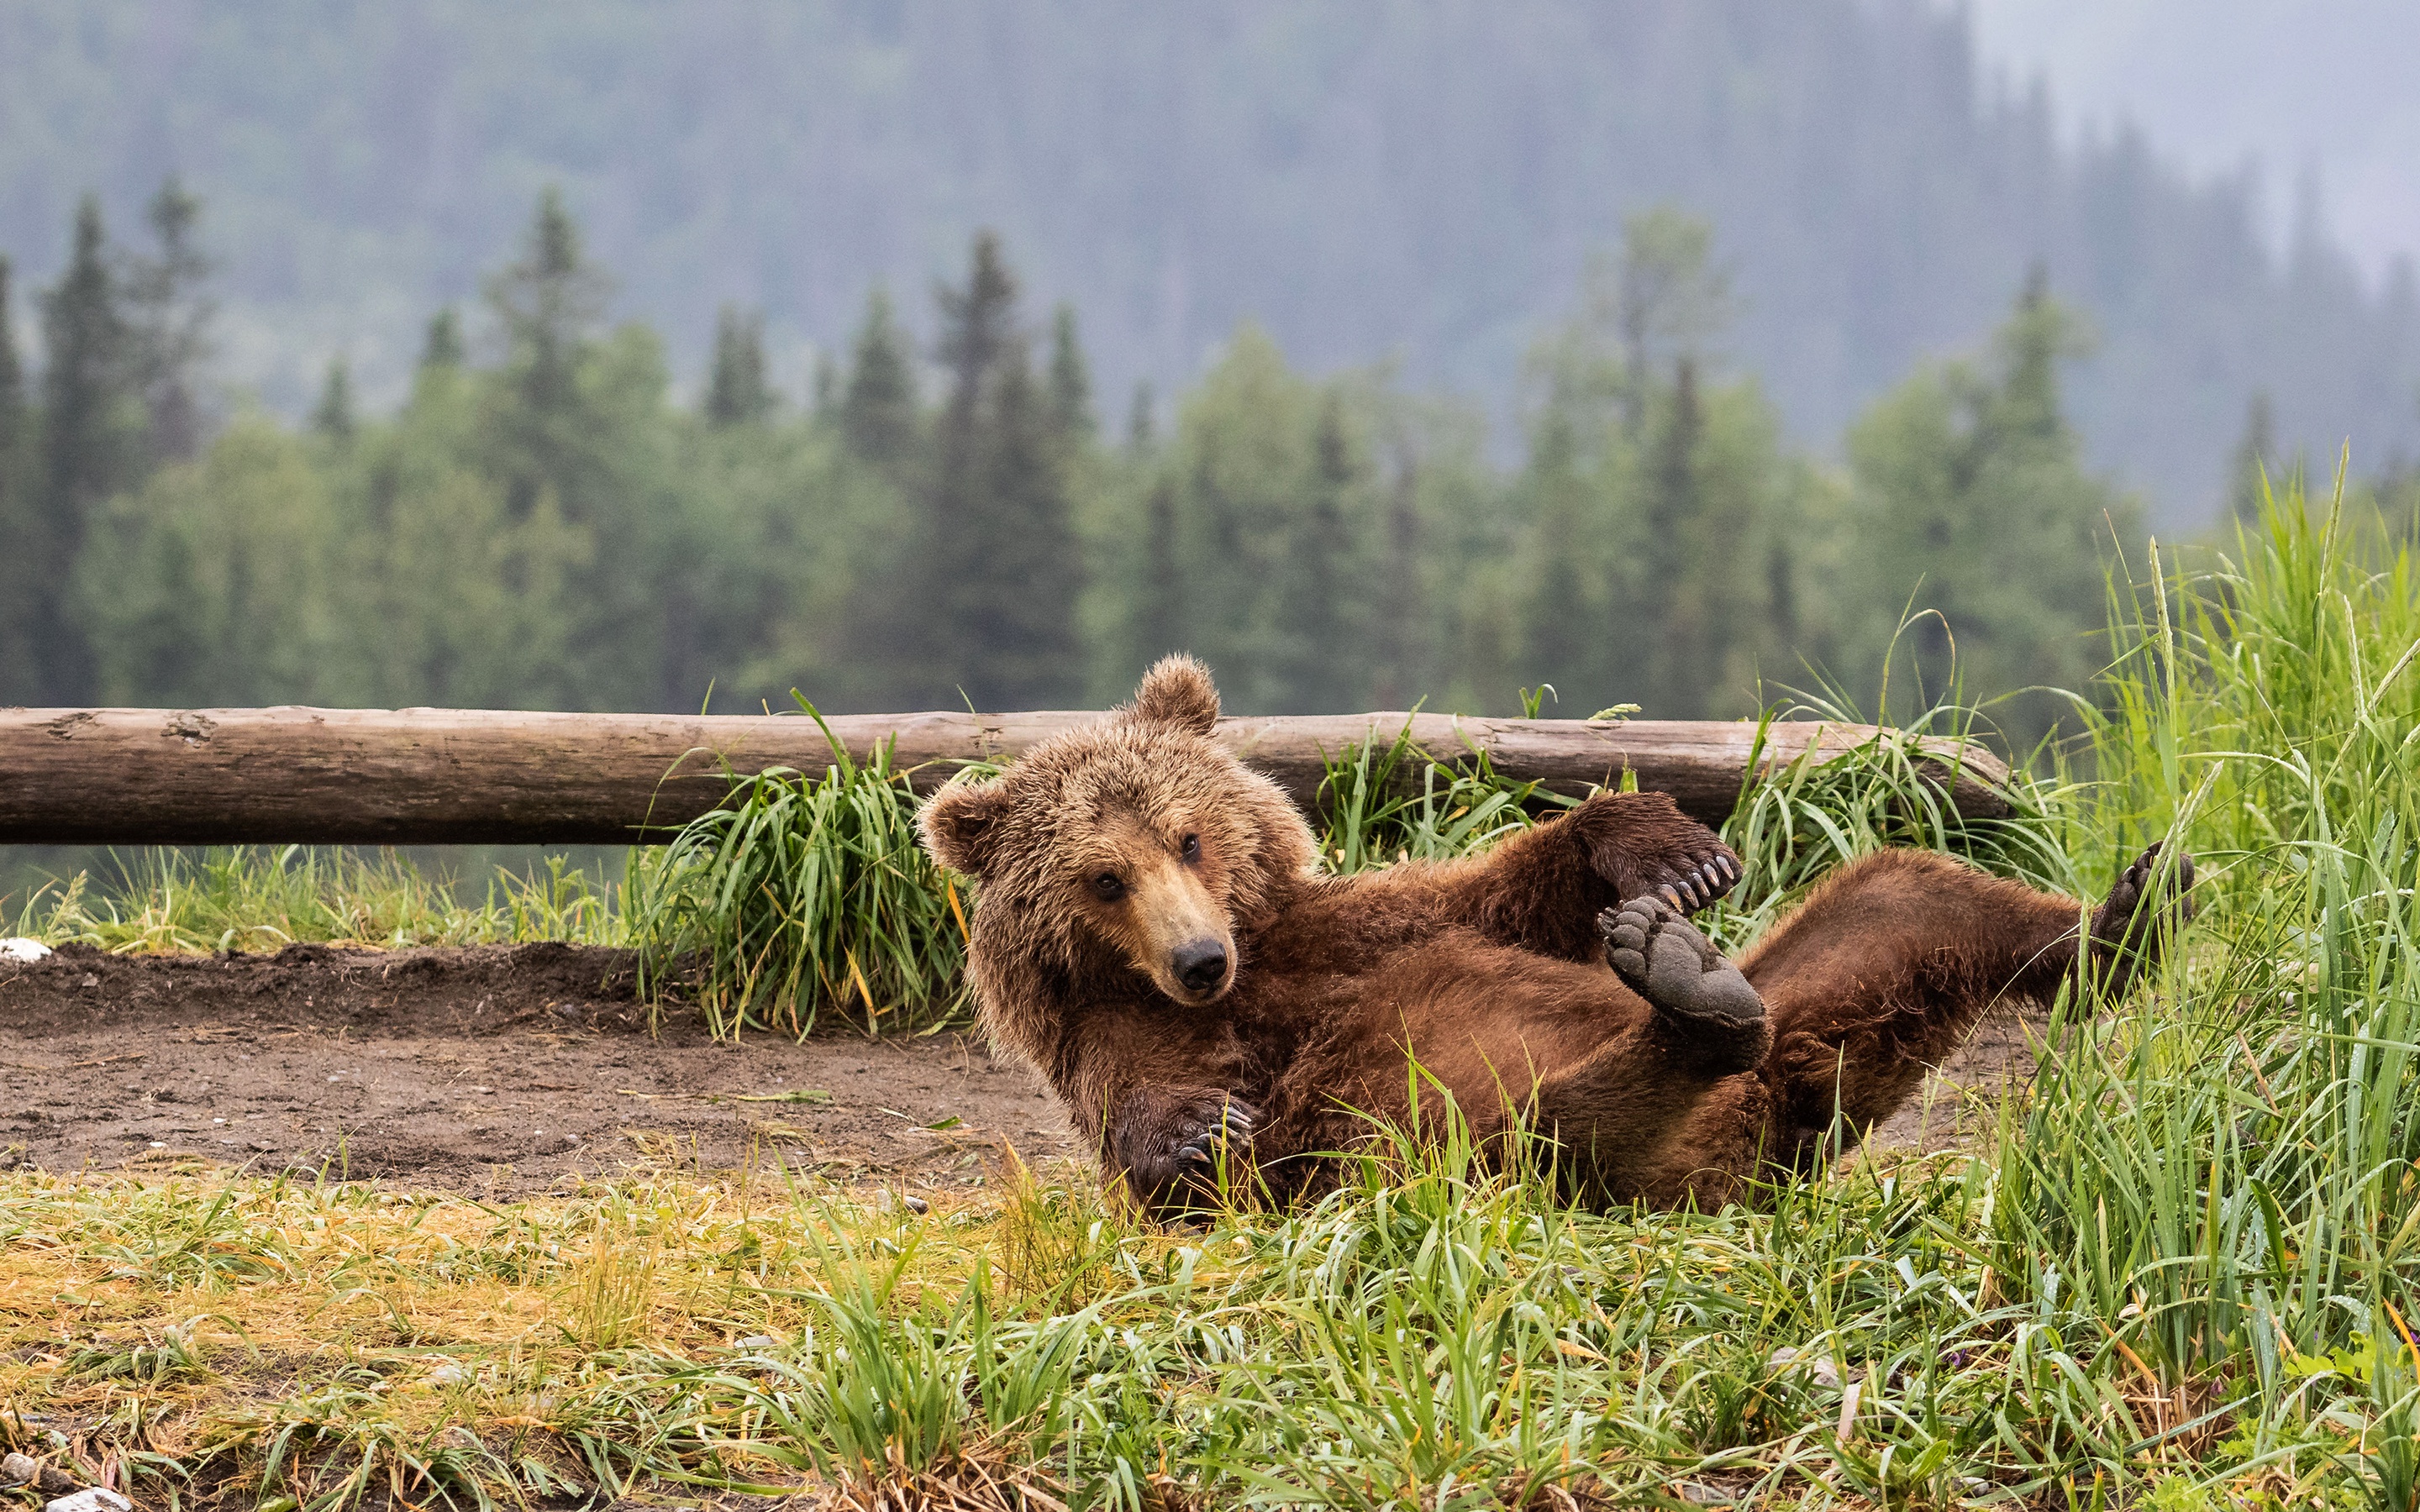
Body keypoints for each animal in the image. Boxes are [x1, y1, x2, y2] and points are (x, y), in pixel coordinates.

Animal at [909, 653, 2197, 1210]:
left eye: (1188, 837)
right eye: (1102, 879)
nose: (1198, 958)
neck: (1260, 976)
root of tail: (1779, 1118)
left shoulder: (1352, 930)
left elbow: (1499, 898)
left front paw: (1669, 856)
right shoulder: (1132, 1036)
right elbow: (1182, 1133)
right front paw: (1192, 1135)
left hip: (1829, 995)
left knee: (1910, 897)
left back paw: (2127, 913)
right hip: (1482, 1149)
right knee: (1558, 1131)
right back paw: (1690, 1011)